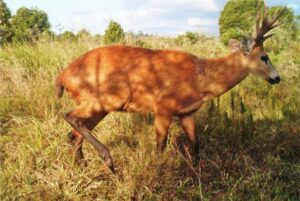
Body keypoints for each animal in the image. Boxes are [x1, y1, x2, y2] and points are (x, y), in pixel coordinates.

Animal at [55, 0, 286, 173]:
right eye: (264, 57)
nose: (277, 78)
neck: (200, 79)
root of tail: (63, 76)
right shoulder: (162, 107)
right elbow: (160, 147)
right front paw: (157, 174)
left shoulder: (186, 113)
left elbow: (196, 145)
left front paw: (196, 172)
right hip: (108, 98)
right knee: (69, 116)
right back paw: (108, 160)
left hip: (101, 106)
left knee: (74, 135)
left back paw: (85, 168)